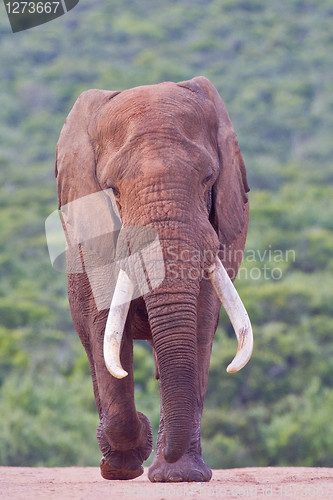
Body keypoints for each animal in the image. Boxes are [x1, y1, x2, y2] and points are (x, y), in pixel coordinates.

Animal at [55, 76, 252, 482]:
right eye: (112, 189)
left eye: (208, 179)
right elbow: (103, 325)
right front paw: (123, 464)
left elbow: (200, 322)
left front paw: (180, 476)